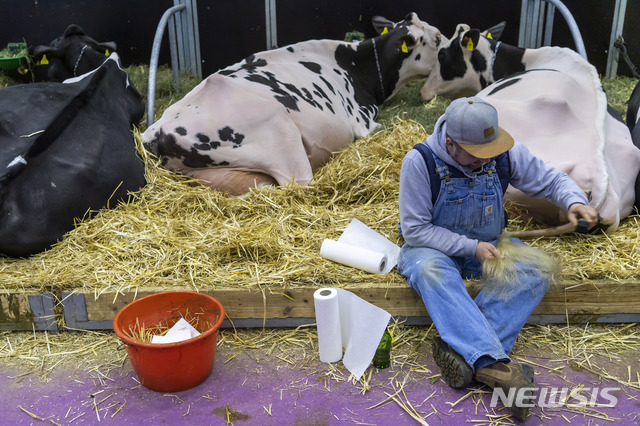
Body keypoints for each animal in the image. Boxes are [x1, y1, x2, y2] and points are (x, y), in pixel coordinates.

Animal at [142, 11, 442, 195]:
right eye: (438, 39)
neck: (357, 65)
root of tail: (157, 131)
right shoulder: (364, 121)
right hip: (284, 138)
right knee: (299, 184)